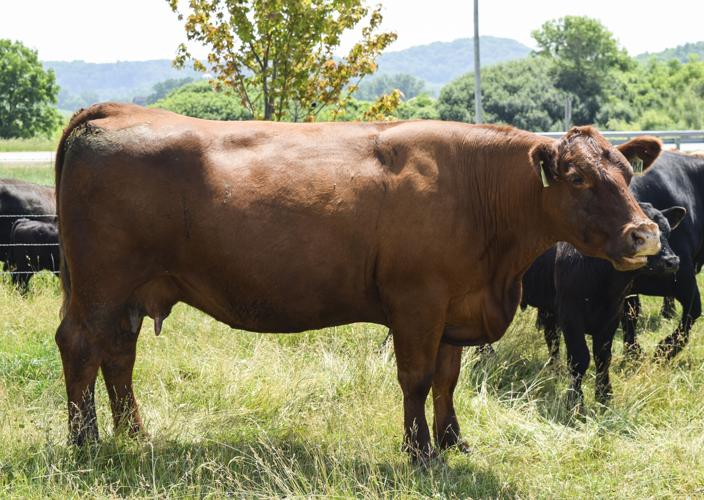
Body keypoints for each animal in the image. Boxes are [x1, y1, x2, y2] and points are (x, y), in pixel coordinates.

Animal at [54, 103, 662, 461]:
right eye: (577, 178)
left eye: (627, 173)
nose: (645, 234)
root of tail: (113, 113)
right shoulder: (418, 302)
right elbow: (417, 379)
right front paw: (420, 452)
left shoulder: (452, 307)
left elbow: (447, 379)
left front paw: (453, 440)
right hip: (102, 286)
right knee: (81, 347)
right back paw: (85, 442)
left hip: (129, 294)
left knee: (118, 354)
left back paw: (133, 435)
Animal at [521, 203, 684, 410]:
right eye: (639, 236)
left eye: (668, 231)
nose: (672, 261)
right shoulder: (570, 314)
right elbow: (579, 358)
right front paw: (575, 402)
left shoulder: (612, 314)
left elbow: (603, 357)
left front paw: (605, 397)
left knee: (551, 337)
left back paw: (554, 370)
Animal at [622, 151, 704, 359]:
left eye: (667, 231)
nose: (671, 261)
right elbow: (630, 315)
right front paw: (633, 352)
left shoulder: (685, 277)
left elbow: (692, 311)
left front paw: (666, 348)